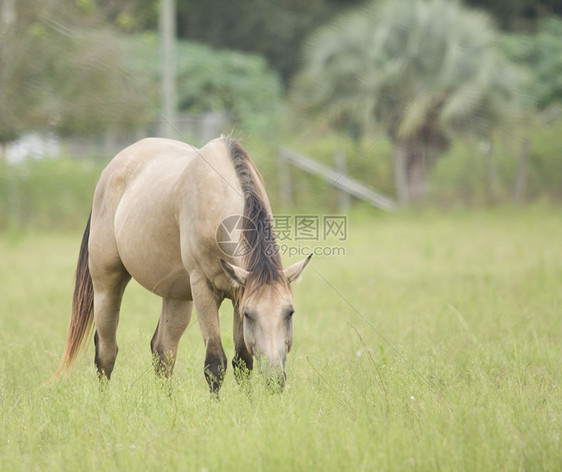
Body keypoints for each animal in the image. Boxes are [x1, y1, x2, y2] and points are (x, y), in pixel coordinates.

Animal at [53, 137, 310, 394]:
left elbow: (243, 362)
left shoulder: (238, 292)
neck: (217, 196)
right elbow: (215, 364)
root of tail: (110, 170)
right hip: (106, 284)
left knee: (162, 350)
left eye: (290, 312)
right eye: (250, 315)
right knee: (106, 352)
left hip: (176, 296)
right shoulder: (204, 289)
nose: (275, 379)